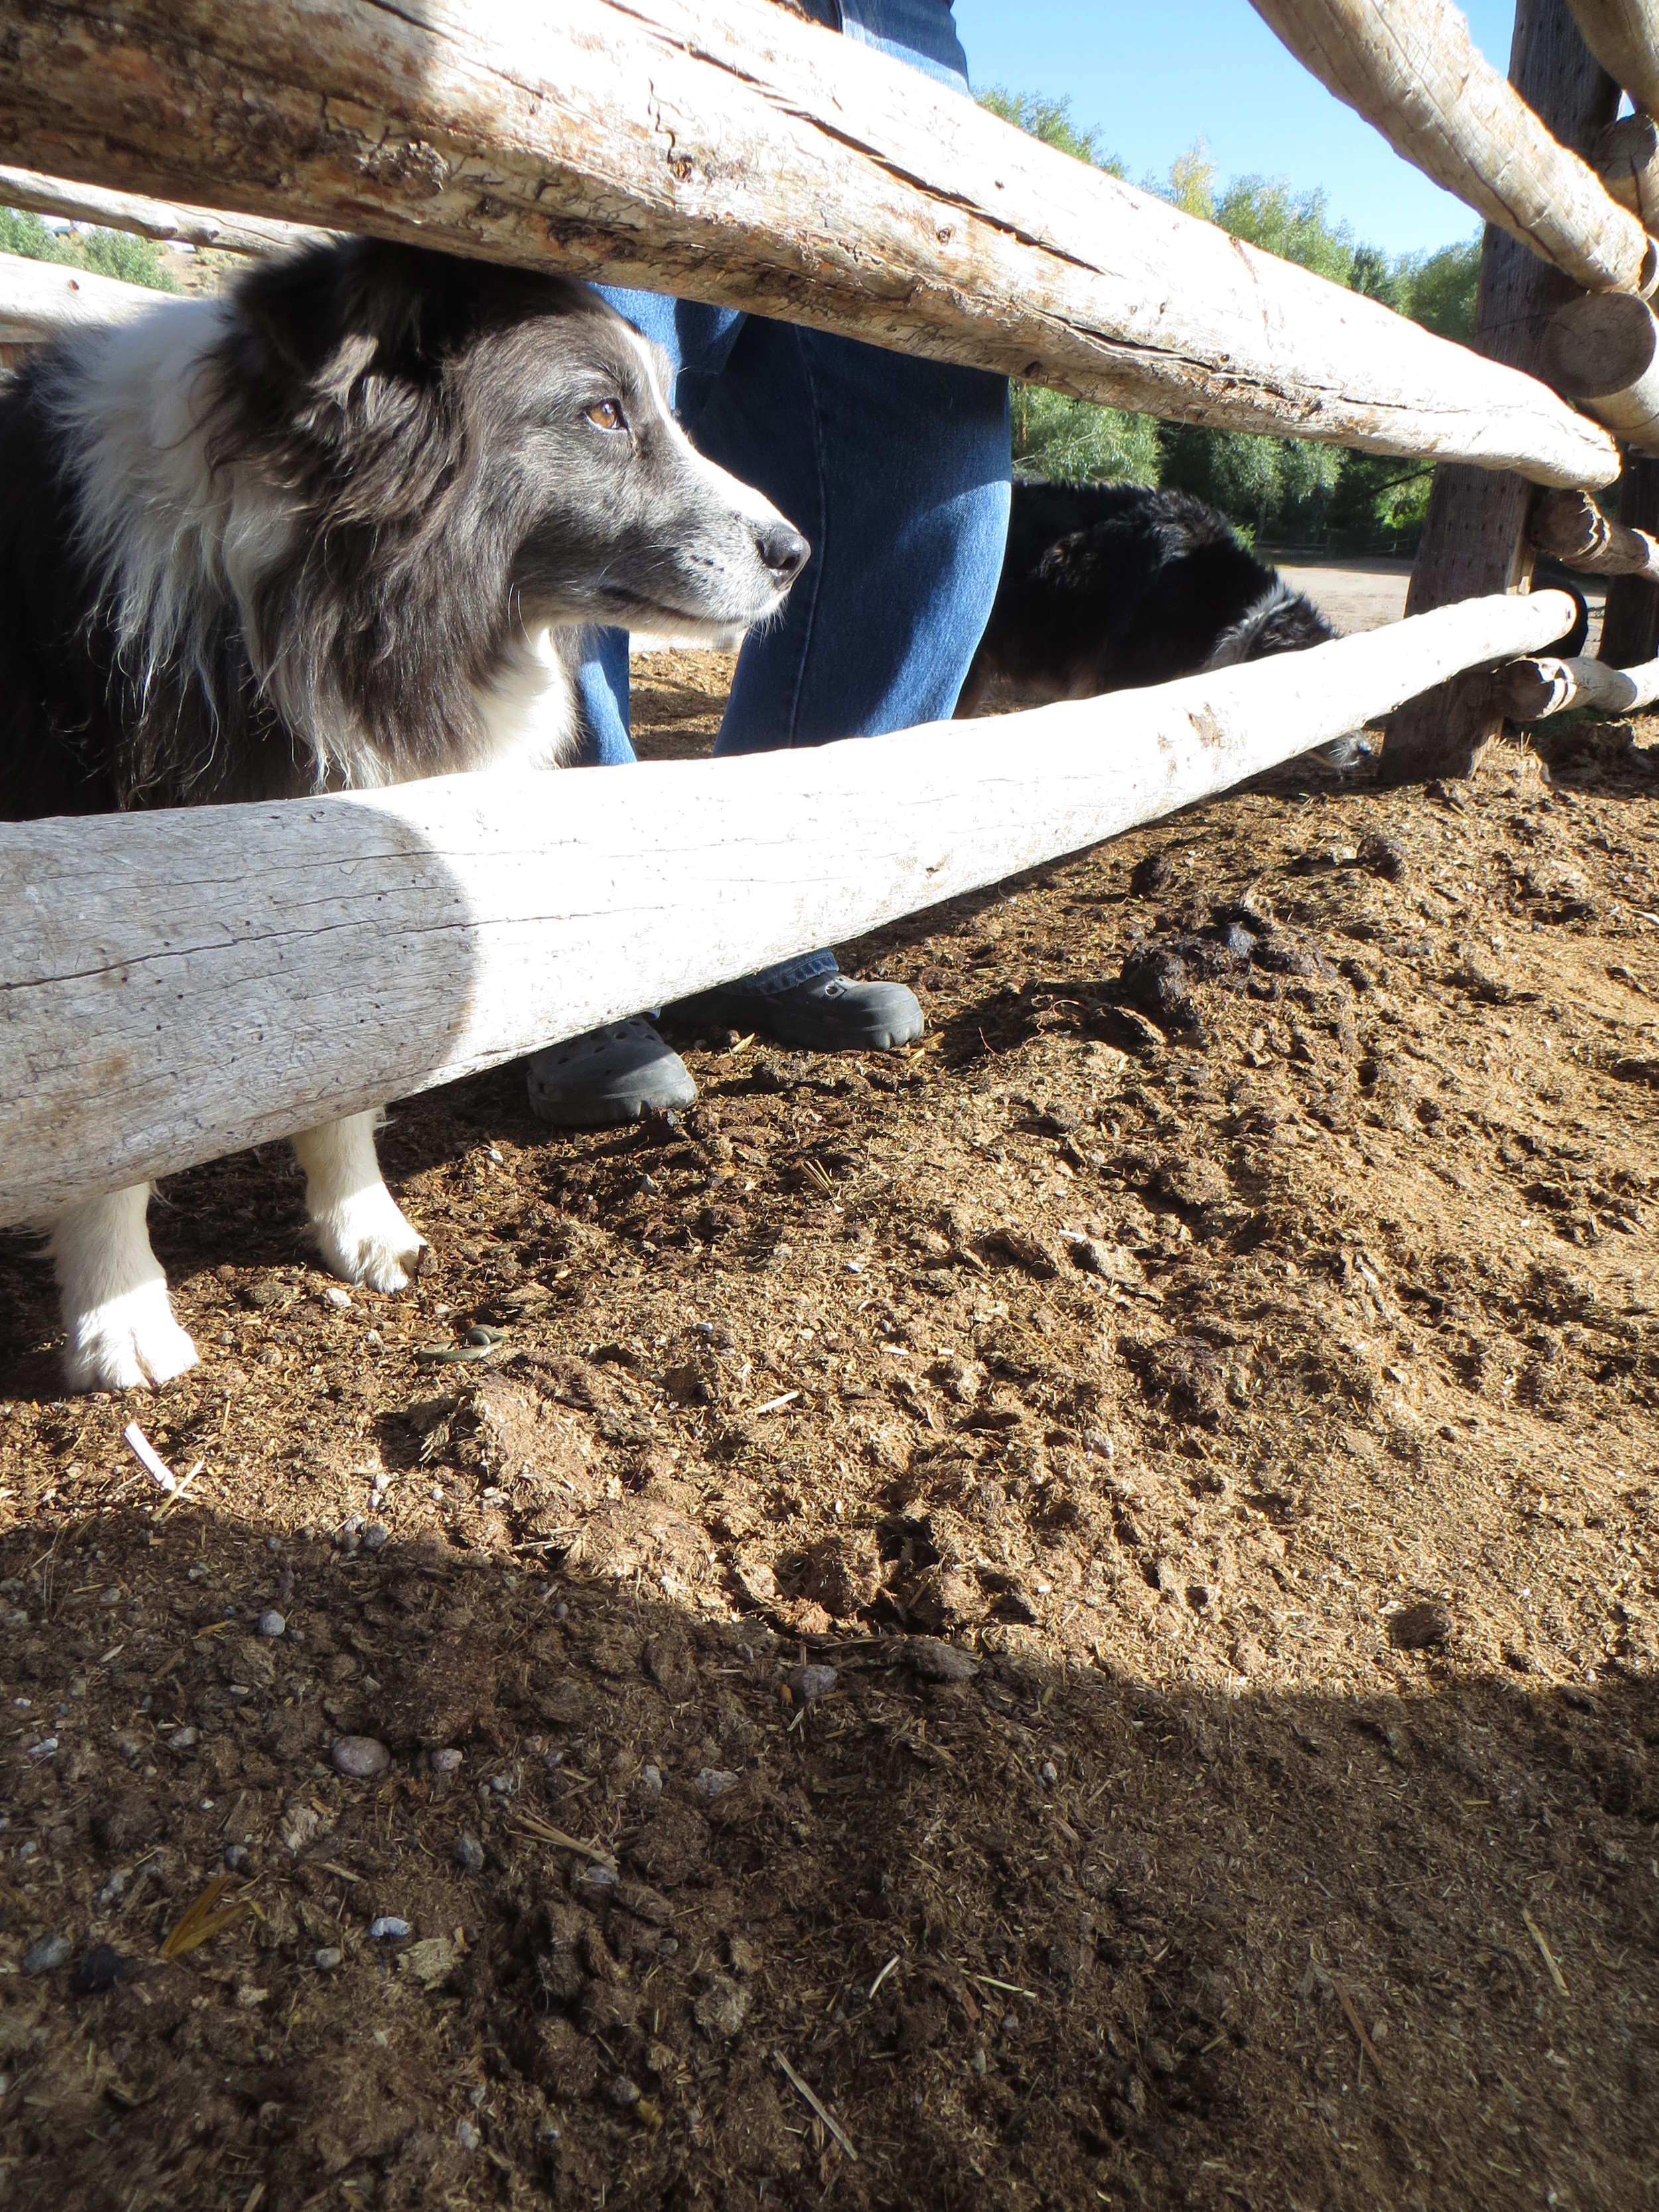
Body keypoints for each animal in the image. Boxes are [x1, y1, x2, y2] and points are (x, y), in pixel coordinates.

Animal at [0, 238, 805, 1380]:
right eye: (604, 411)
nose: (796, 554)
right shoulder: (83, 887)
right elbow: (107, 1124)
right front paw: (123, 1320)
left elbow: (355, 1063)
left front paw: (365, 1226)